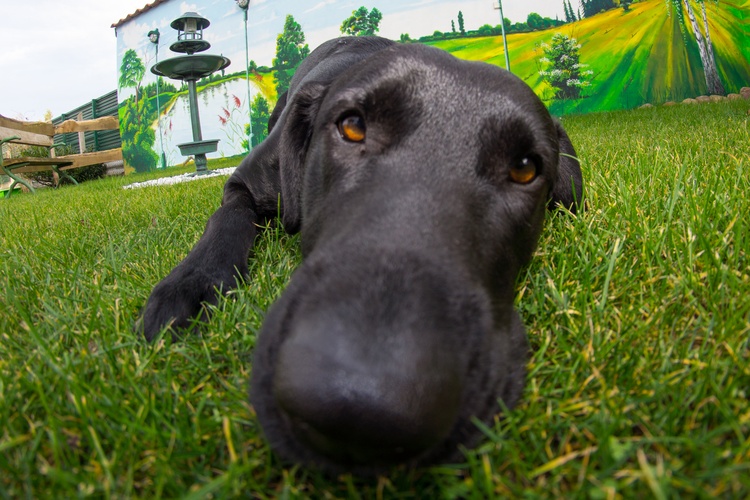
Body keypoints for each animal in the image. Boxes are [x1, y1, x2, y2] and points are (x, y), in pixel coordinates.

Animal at [142, 37, 588, 474]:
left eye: (525, 168)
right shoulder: (244, 184)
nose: (359, 411)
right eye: (352, 127)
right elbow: (226, 220)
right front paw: (192, 286)